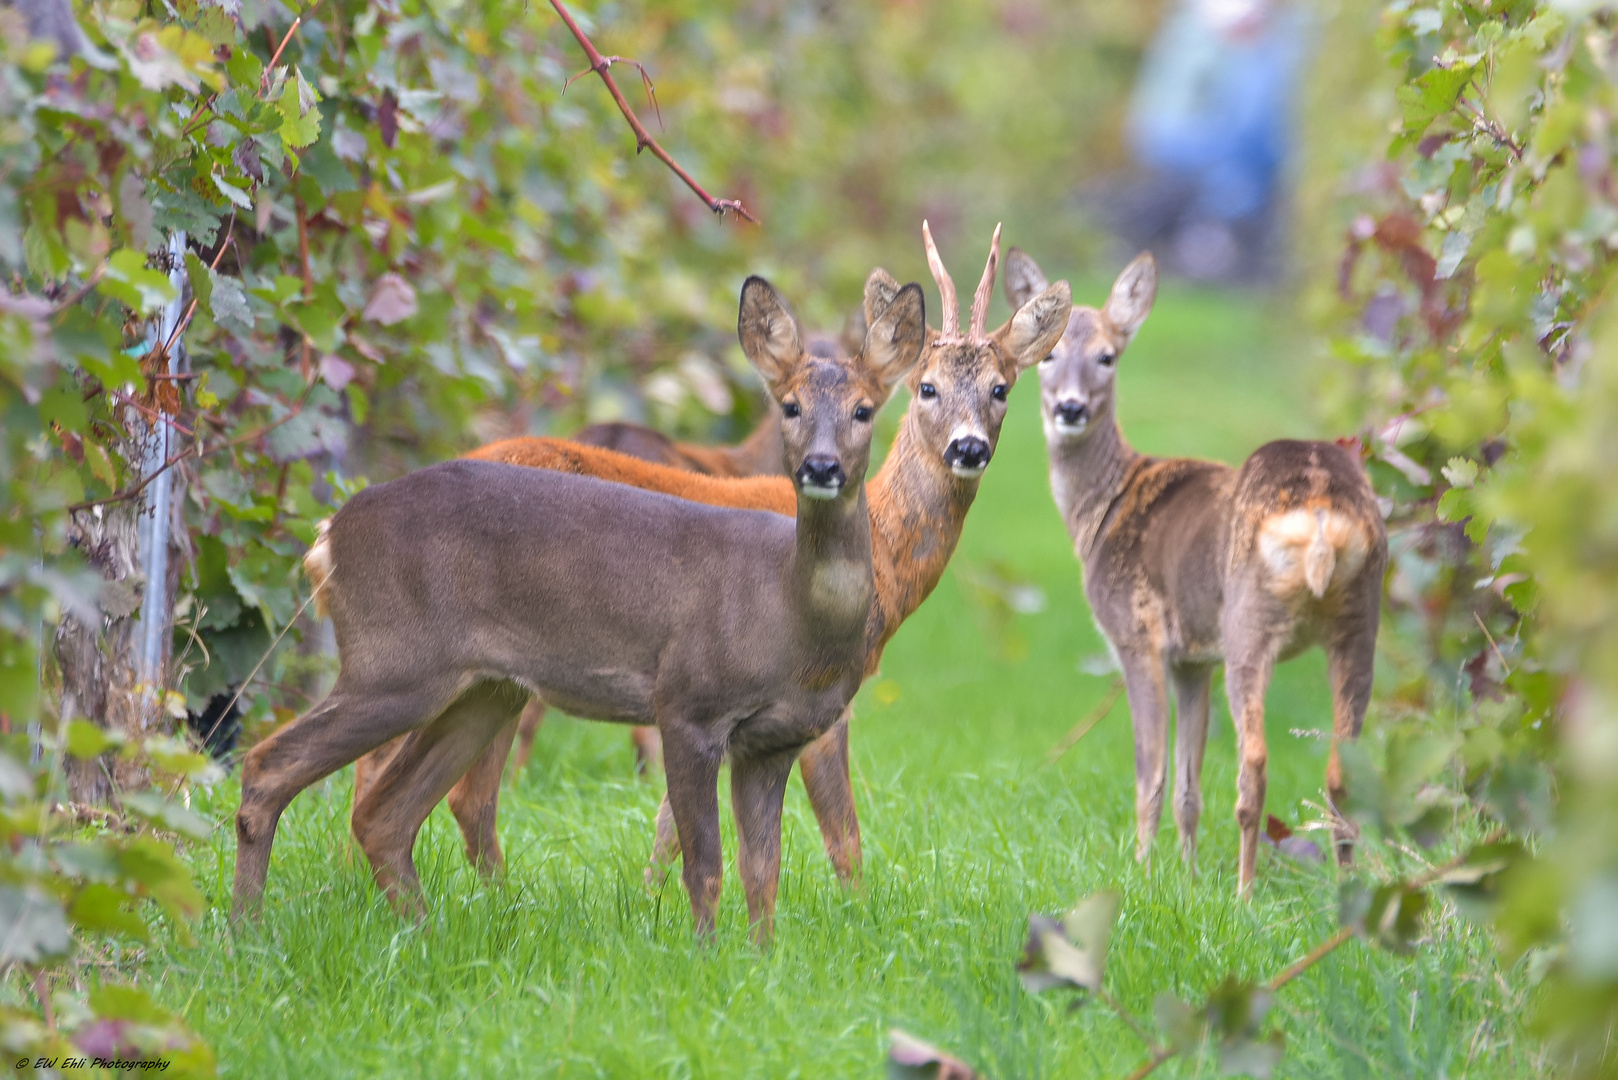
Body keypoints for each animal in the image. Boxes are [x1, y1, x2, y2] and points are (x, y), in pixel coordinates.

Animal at [234, 275, 931, 939]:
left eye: (864, 410)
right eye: (790, 405)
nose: (822, 466)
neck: (789, 613)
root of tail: (328, 537)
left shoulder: (775, 741)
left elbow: (764, 878)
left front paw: (760, 962)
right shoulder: (687, 702)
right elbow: (705, 867)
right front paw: (705, 956)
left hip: (481, 689)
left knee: (385, 813)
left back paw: (425, 936)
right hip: (393, 662)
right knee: (271, 765)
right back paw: (246, 934)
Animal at [352, 223, 1074, 893]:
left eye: (1002, 388)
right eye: (925, 387)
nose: (967, 448)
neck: (879, 551)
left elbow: (671, 822)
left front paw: (653, 901)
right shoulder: (813, 691)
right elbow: (842, 835)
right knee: (459, 793)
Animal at [1003, 249, 1385, 900]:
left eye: (1108, 355)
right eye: (1049, 355)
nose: (1069, 408)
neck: (1101, 507)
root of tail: (1319, 513)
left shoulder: (1138, 636)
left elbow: (1150, 773)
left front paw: (1141, 870)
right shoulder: (1193, 659)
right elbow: (1187, 784)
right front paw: (1184, 873)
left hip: (1249, 625)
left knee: (1254, 761)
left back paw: (1245, 892)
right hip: (1361, 622)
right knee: (1342, 767)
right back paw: (1347, 890)